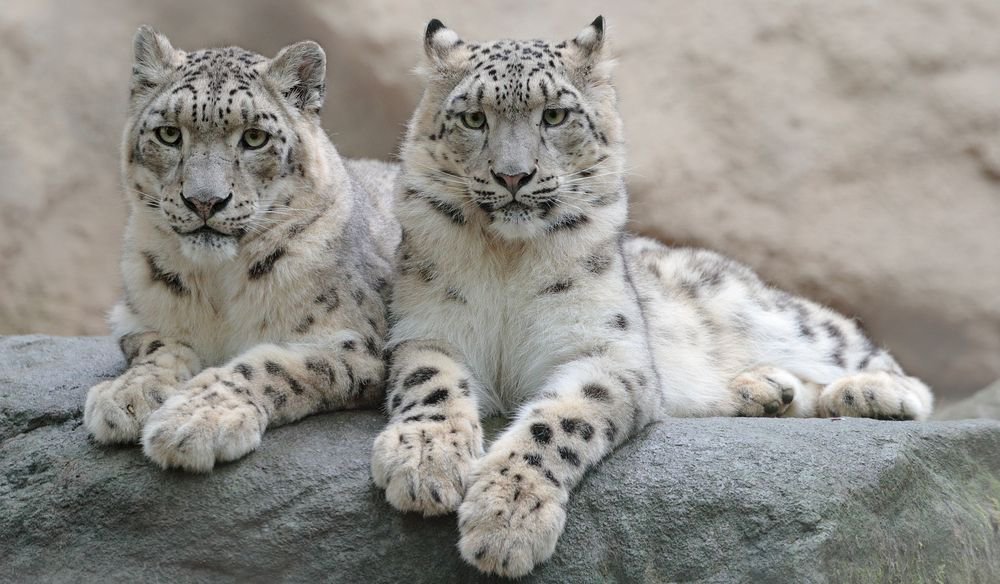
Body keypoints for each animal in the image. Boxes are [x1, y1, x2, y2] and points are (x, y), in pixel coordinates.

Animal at [82, 26, 400, 474]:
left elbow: (271, 365)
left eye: (254, 137)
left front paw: (195, 421)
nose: (204, 201)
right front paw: (127, 396)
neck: (216, 286)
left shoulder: (358, 342)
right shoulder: (135, 316)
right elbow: (158, 346)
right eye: (169, 133)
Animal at [370, 16, 936, 576]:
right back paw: (763, 389)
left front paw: (506, 520)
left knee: (870, 357)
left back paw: (869, 393)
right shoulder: (426, 329)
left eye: (554, 115)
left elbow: (558, 423)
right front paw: (423, 463)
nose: (513, 175)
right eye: (473, 118)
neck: (508, 258)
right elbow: (430, 385)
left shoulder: (609, 351)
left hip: (769, 314)